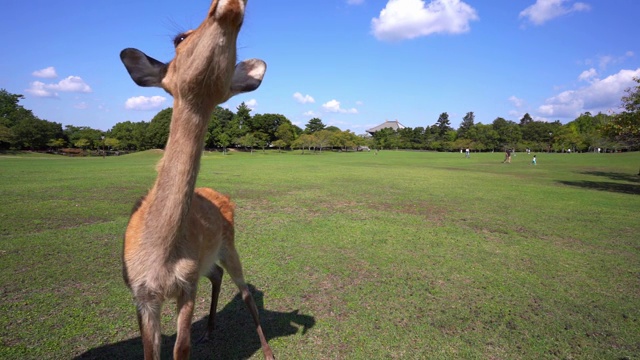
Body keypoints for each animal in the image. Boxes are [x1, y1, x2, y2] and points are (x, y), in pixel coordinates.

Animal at [119, 1, 272, 358]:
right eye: (179, 38)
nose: (229, 5)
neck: (160, 259)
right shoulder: (141, 295)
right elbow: (151, 351)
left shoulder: (187, 286)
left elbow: (181, 349)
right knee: (215, 274)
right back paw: (211, 330)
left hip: (230, 244)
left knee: (245, 292)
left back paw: (267, 349)